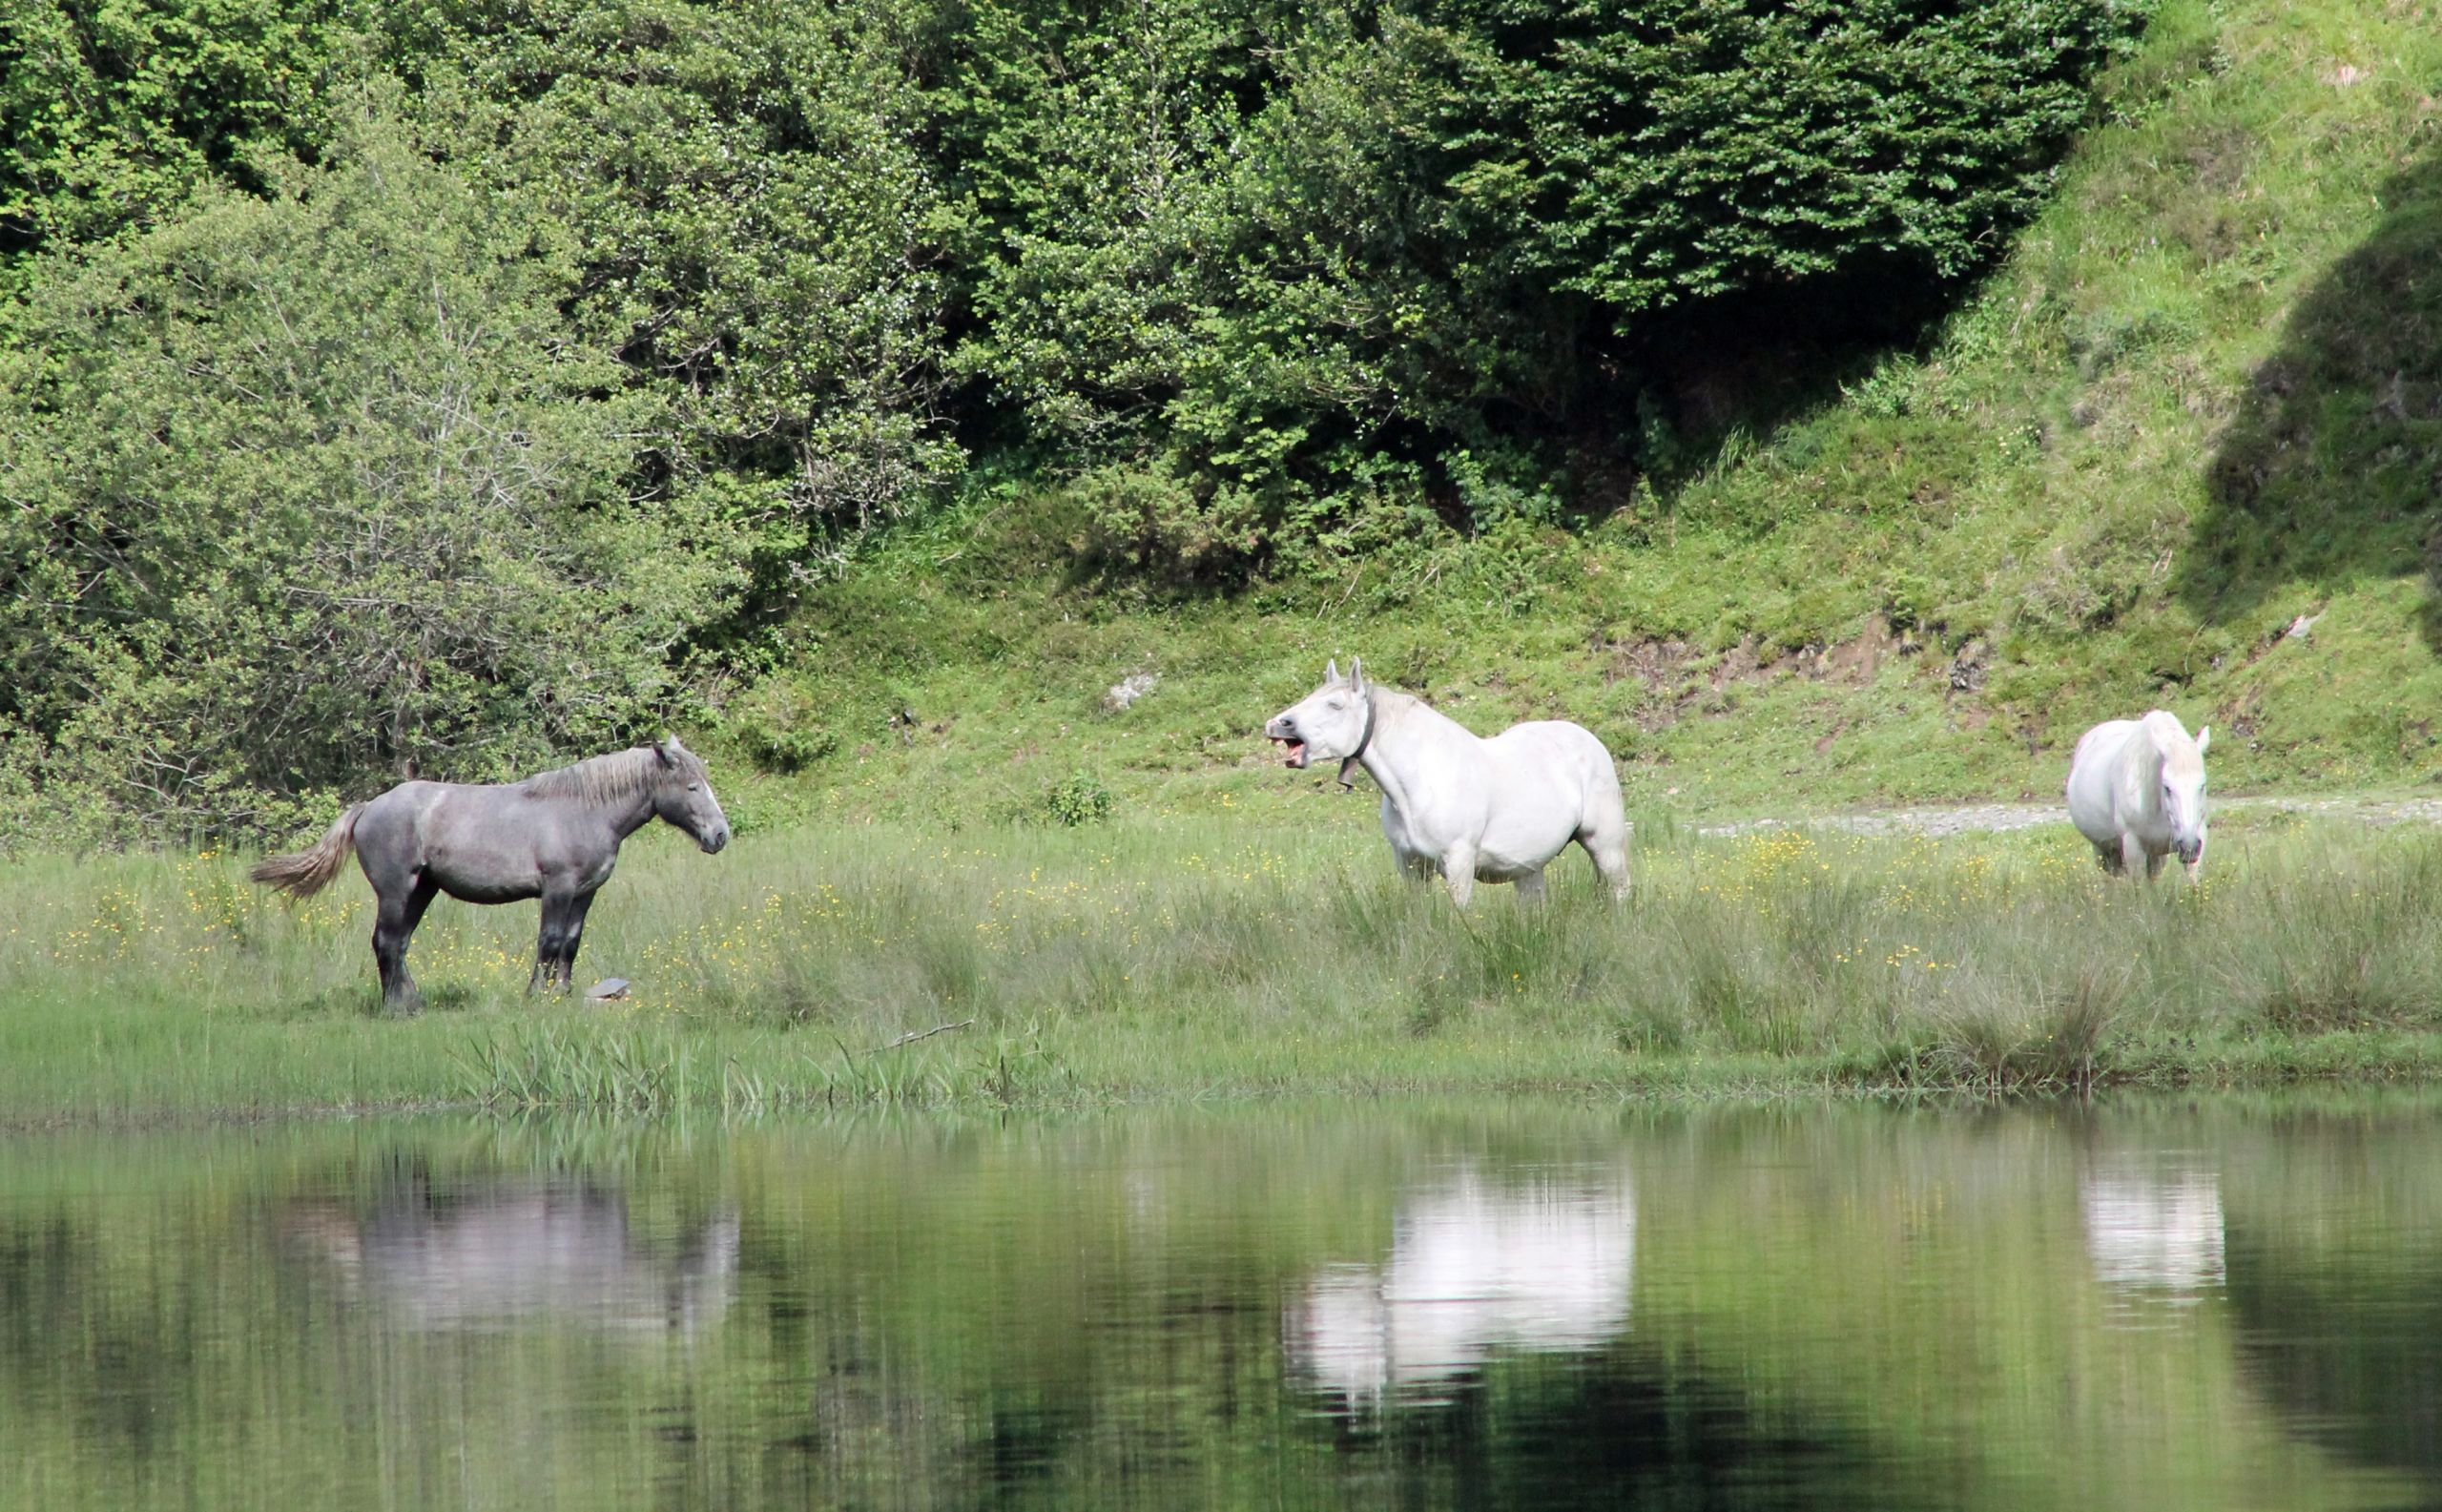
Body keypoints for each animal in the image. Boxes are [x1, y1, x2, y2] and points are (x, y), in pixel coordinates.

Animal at [250, 737, 722, 1011]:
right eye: (692, 787)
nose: (720, 834)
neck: (585, 810)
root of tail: (369, 807)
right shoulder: (558, 889)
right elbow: (549, 942)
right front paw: (536, 997)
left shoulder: (585, 894)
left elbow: (570, 944)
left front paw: (564, 995)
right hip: (397, 891)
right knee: (385, 942)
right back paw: (395, 1008)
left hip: (423, 890)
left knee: (398, 944)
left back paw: (412, 1002)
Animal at [1270, 659, 1631, 899]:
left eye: (1334, 705)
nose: (1277, 724)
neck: (1421, 781)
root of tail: (1591, 741)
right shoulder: (1411, 868)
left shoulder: (1459, 864)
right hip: (1530, 869)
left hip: (1605, 847)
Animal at [2060, 713, 2217, 879]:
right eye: (2167, 788)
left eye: (2202, 785)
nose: (2189, 846)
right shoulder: (2133, 847)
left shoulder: (2197, 837)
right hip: (2103, 851)